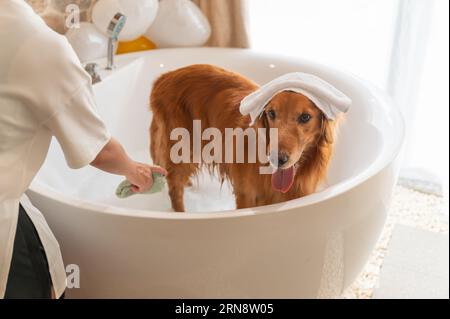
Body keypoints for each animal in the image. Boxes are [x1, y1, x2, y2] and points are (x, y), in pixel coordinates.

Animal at [149, 64, 336, 212]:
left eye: (305, 117)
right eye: (271, 113)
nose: (277, 159)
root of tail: (164, 77)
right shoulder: (246, 196)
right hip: (183, 149)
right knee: (174, 188)